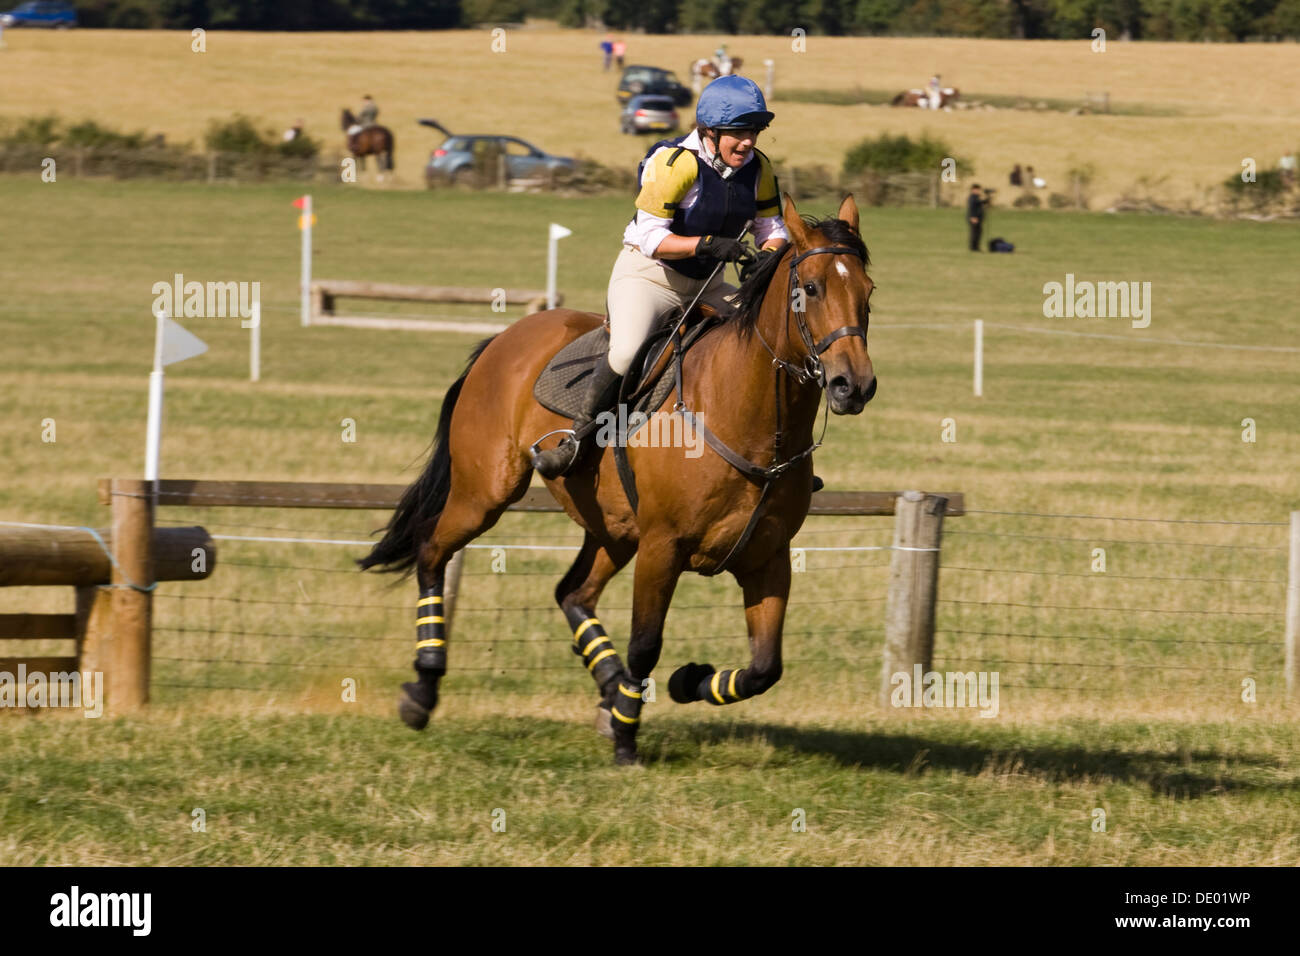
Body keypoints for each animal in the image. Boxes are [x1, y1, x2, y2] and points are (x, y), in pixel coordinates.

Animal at [359, 194, 877, 766]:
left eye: (868, 292)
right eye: (812, 288)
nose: (854, 386)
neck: (750, 420)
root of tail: (504, 338)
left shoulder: (769, 557)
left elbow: (765, 668)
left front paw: (685, 682)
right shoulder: (662, 548)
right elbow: (646, 644)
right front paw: (630, 737)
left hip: (613, 528)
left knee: (573, 593)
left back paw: (610, 689)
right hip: (486, 494)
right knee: (433, 551)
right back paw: (424, 688)